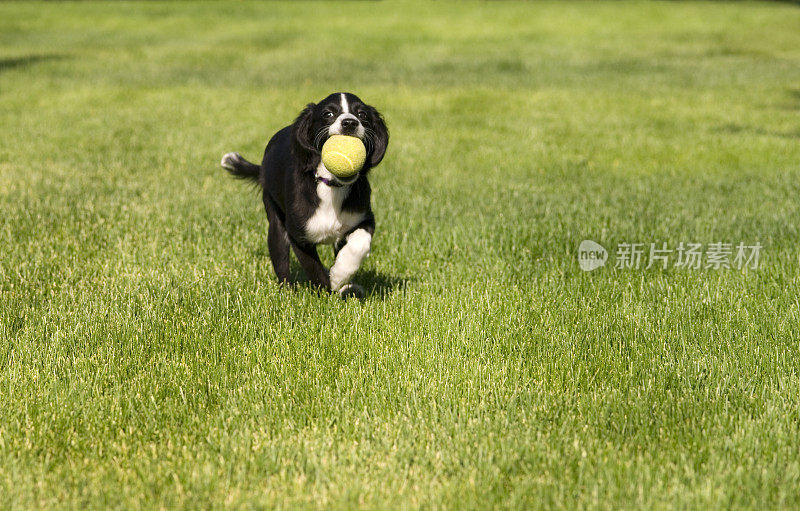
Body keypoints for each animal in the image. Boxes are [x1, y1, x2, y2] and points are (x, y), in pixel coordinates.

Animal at [222, 94, 390, 298]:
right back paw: (287, 292)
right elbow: (313, 268)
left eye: (362, 114)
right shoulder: (298, 235)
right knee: (280, 259)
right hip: (275, 220)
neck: (331, 185)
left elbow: (360, 244)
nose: (350, 123)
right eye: (328, 114)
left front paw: (340, 276)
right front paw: (329, 288)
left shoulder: (363, 218)